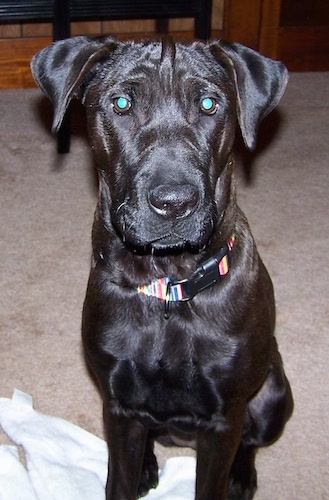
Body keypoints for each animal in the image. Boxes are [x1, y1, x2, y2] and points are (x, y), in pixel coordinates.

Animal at [31, 37, 292, 498]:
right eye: (121, 103)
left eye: (208, 103)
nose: (174, 203)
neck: (169, 284)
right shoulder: (119, 405)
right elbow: (117, 479)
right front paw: (131, 475)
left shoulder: (224, 419)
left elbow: (211, 482)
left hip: (275, 394)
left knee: (250, 442)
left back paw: (242, 476)